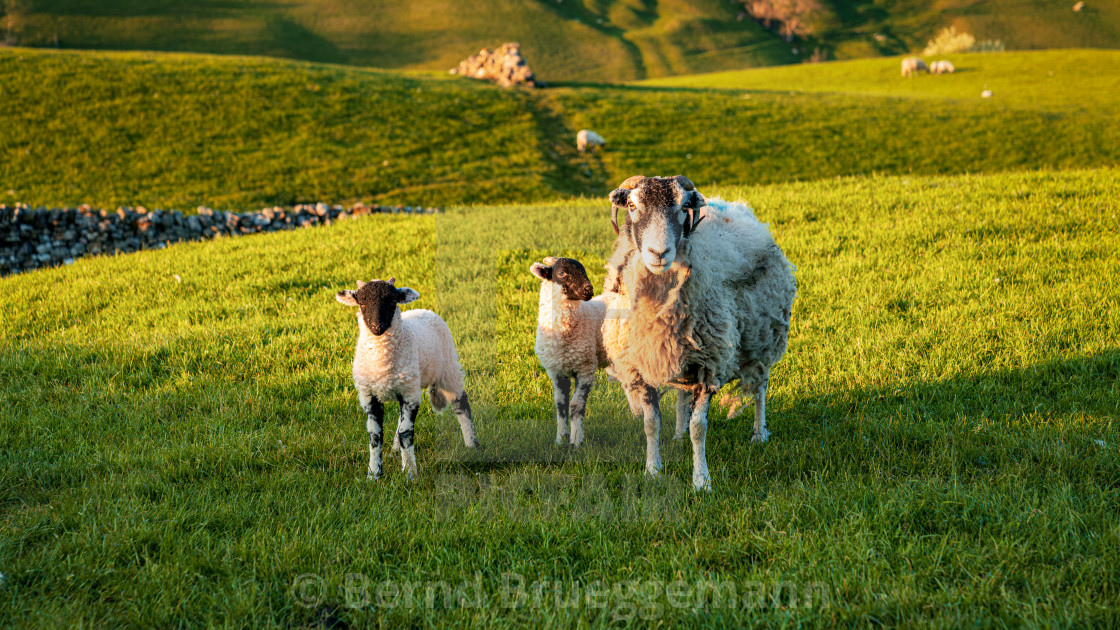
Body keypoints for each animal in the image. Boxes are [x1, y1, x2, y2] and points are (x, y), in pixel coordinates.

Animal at [329, 274, 474, 475]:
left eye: (391, 301)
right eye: (362, 303)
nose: (376, 326)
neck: (382, 363)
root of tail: (425, 310)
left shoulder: (410, 395)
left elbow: (407, 433)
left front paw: (409, 473)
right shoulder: (369, 395)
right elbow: (375, 435)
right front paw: (374, 473)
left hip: (448, 369)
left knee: (461, 404)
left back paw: (472, 444)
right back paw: (394, 451)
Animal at [528, 255, 609, 446]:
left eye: (584, 270)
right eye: (562, 273)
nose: (588, 289)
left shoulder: (586, 368)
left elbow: (575, 406)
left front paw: (576, 441)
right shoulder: (556, 371)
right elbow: (561, 405)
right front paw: (560, 439)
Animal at [604, 173, 797, 488]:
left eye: (684, 207)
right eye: (632, 205)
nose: (659, 253)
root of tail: (736, 206)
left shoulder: (711, 363)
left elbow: (699, 426)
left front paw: (701, 480)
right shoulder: (642, 364)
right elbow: (651, 423)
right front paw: (652, 470)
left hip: (762, 337)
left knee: (760, 386)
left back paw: (759, 433)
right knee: (684, 393)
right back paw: (678, 433)